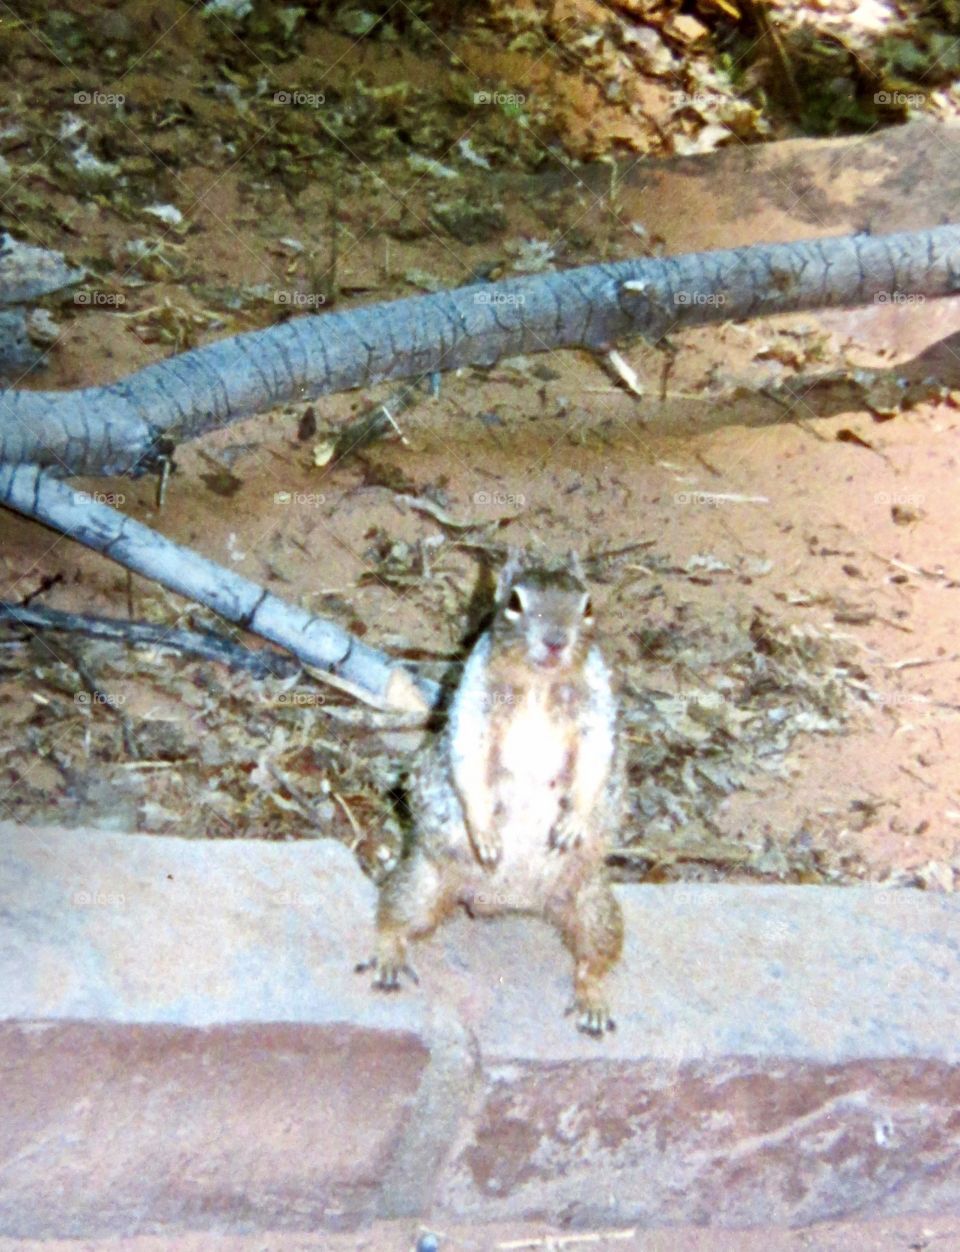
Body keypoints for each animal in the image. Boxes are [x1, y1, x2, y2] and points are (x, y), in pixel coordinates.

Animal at [360, 549, 625, 1036]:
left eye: (589, 605)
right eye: (514, 603)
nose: (556, 641)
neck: (540, 683)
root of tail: (513, 903)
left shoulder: (599, 709)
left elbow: (595, 762)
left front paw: (572, 823)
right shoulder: (472, 702)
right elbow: (469, 760)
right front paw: (484, 834)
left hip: (593, 906)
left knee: (594, 959)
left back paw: (593, 1002)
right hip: (423, 883)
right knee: (393, 915)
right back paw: (389, 957)